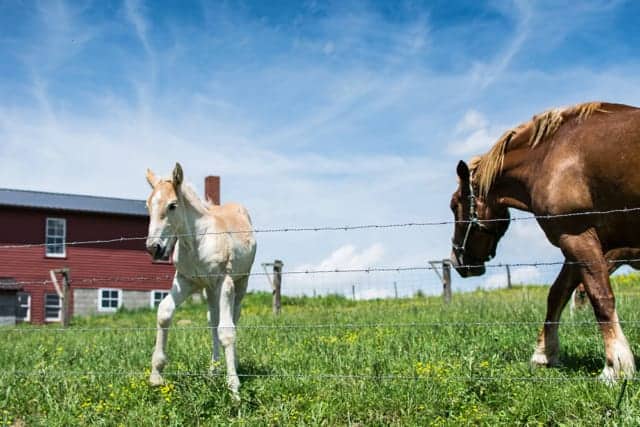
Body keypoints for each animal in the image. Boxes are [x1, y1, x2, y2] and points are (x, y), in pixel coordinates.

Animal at [450, 102, 640, 382]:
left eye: (454, 206)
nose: (457, 261)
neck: (549, 156)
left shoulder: (577, 235)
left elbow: (600, 297)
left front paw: (615, 366)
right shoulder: (575, 242)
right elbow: (557, 295)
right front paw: (544, 354)